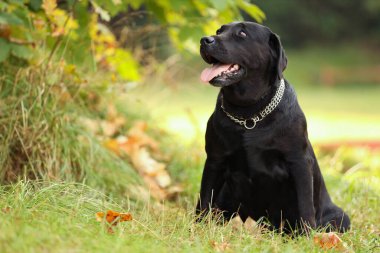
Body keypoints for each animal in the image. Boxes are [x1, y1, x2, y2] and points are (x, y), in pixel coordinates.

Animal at [196, 21, 350, 233]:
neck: (249, 115)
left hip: (340, 217)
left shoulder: (299, 162)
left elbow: (305, 206)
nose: (205, 40)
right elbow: (204, 199)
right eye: (220, 31)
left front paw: (307, 236)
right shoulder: (215, 159)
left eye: (242, 34)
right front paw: (197, 228)